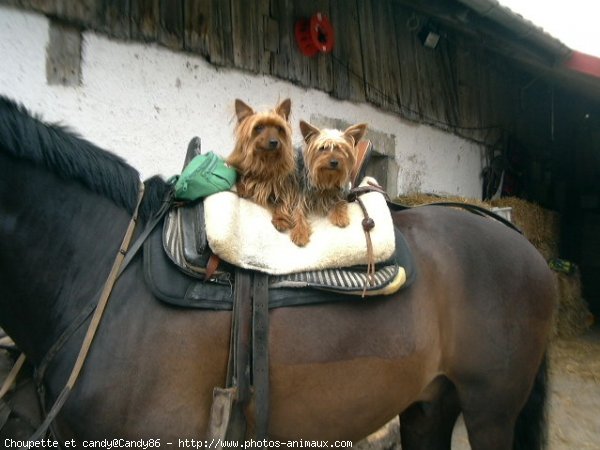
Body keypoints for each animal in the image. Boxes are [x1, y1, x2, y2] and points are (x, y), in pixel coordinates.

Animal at [226, 98, 310, 246]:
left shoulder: (290, 188)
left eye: (279, 128)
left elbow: (286, 203)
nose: (274, 142)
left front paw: (281, 219)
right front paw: (244, 188)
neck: (265, 162)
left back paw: (300, 233)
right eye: (258, 127)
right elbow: (241, 176)